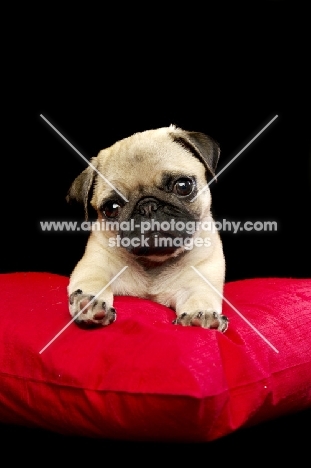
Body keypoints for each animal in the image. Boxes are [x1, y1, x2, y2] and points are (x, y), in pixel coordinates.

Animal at [67, 124, 228, 330]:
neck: (153, 262)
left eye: (183, 186)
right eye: (111, 208)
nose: (147, 206)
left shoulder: (200, 280)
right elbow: (94, 280)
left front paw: (202, 314)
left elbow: (200, 296)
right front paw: (89, 303)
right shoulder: (94, 264)